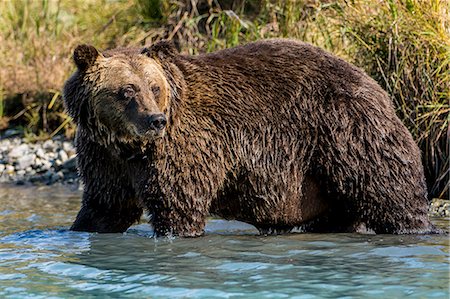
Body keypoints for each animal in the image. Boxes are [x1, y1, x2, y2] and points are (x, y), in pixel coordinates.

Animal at [63, 39, 436, 237]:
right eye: (127, 89)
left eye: (154, 87)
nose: (156, 120)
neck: (127, 145)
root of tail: (373, 82)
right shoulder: (102, 156)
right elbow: (106, 207)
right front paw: (78, 229)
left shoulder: (183, 147)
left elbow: (176, 203)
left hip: (346, 134)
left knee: (388, 188)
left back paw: (414, 226)